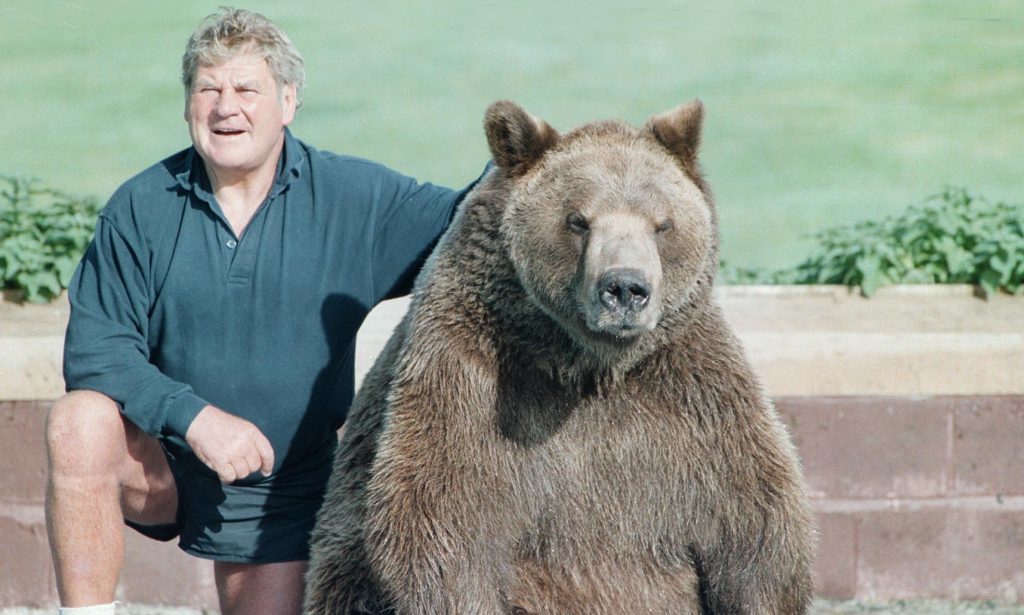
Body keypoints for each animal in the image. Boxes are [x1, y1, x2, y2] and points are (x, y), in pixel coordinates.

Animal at [303, 98, 815, 609]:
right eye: (578, 220)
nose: (625, 288)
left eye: (662, 223)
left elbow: (757, 527)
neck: (587, 364)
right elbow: (441, 524)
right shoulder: (468, 380)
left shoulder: (693, 400)